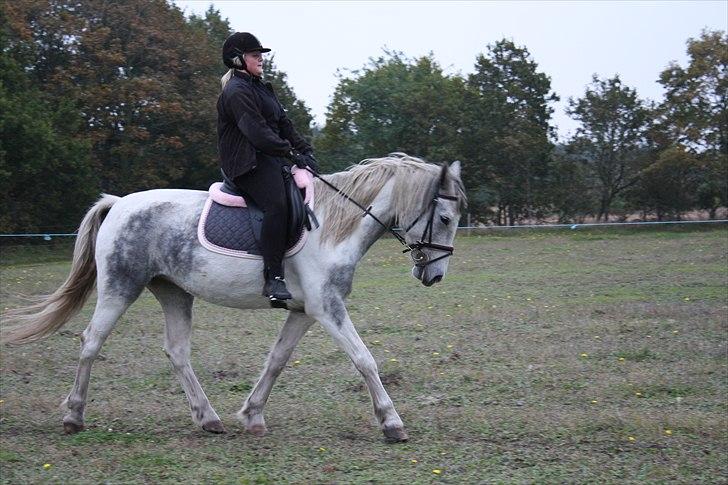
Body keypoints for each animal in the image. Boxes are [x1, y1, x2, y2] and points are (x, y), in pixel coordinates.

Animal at [0, 155, 466, 442]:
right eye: (445, 217)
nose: (435, 275)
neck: (333, 225)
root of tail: (118, 204)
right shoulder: (328, 308)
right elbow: (365, 359)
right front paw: (392, 422)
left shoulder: (305, 311)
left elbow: (277, 360)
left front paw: (252, 415)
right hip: (120, 287)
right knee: (92, 342)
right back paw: (73, 415)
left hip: (174, 292)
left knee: (177, 351)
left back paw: (209, 418)